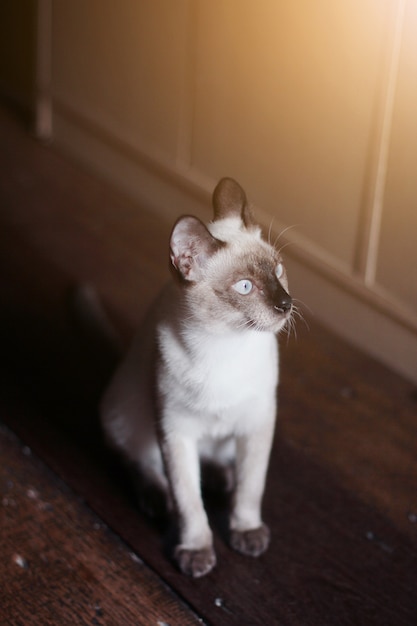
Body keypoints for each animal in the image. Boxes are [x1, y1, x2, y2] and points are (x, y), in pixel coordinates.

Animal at [100, 176, 292, 576]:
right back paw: (158, 501)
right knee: (141, 462)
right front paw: (196, 553)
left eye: (279, 271)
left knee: (218, 461)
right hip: (130, 415)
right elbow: (189, 503)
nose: (286, 304)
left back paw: (221, 479)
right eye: (245, 286)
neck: (224, 347)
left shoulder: (258, 422)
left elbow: (251, 489)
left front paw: (247, 533)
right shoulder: (175, 431)